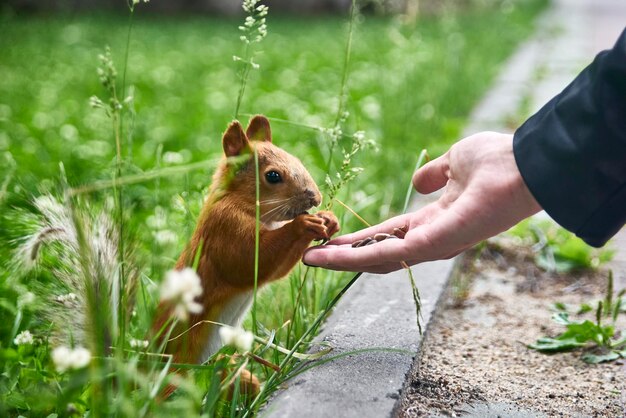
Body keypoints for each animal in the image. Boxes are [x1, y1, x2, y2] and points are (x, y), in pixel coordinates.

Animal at [152, 116, 338, 396]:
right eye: (273, 175)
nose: (315, 198)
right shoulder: (225, 229)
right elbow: (250, 262)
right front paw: (304, 224)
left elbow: (274, 270)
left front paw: (329, 219)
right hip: (175, 371)